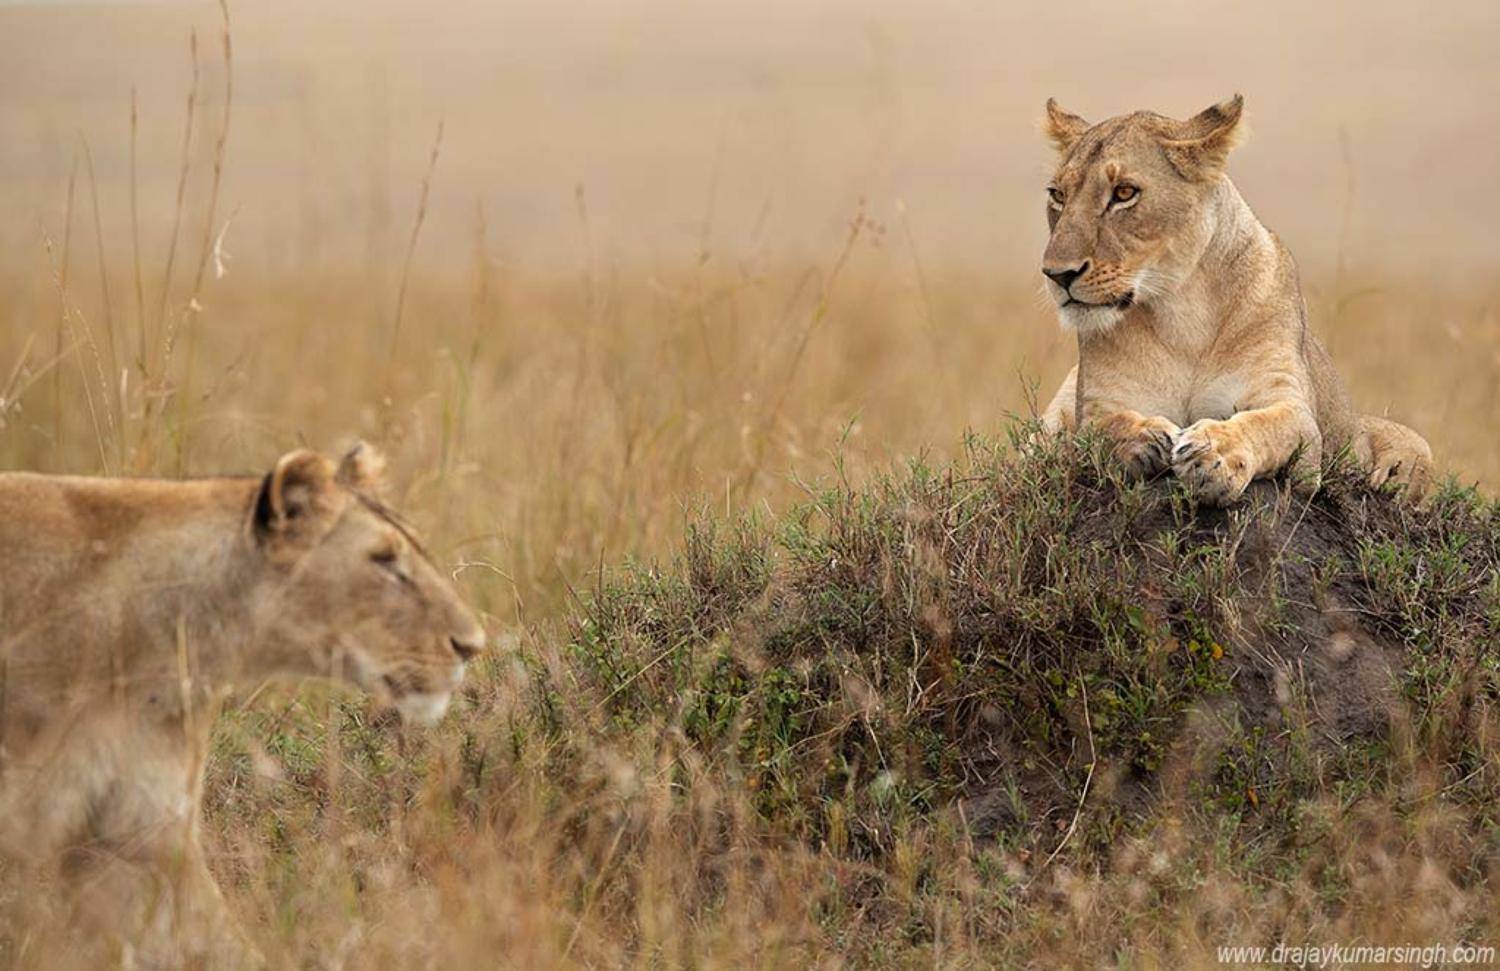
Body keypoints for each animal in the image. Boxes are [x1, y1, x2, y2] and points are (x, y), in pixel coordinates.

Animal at [1035, 95, 1433, 504]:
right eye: (1058, 196)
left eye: (1125, 193)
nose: (1057, 274)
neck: (1181, 314)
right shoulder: (1098, 404)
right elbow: (1101, 428)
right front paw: (1146, 438)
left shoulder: (1294, 413)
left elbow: (1266, 424)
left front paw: (1213, 453)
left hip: (1415, 449)